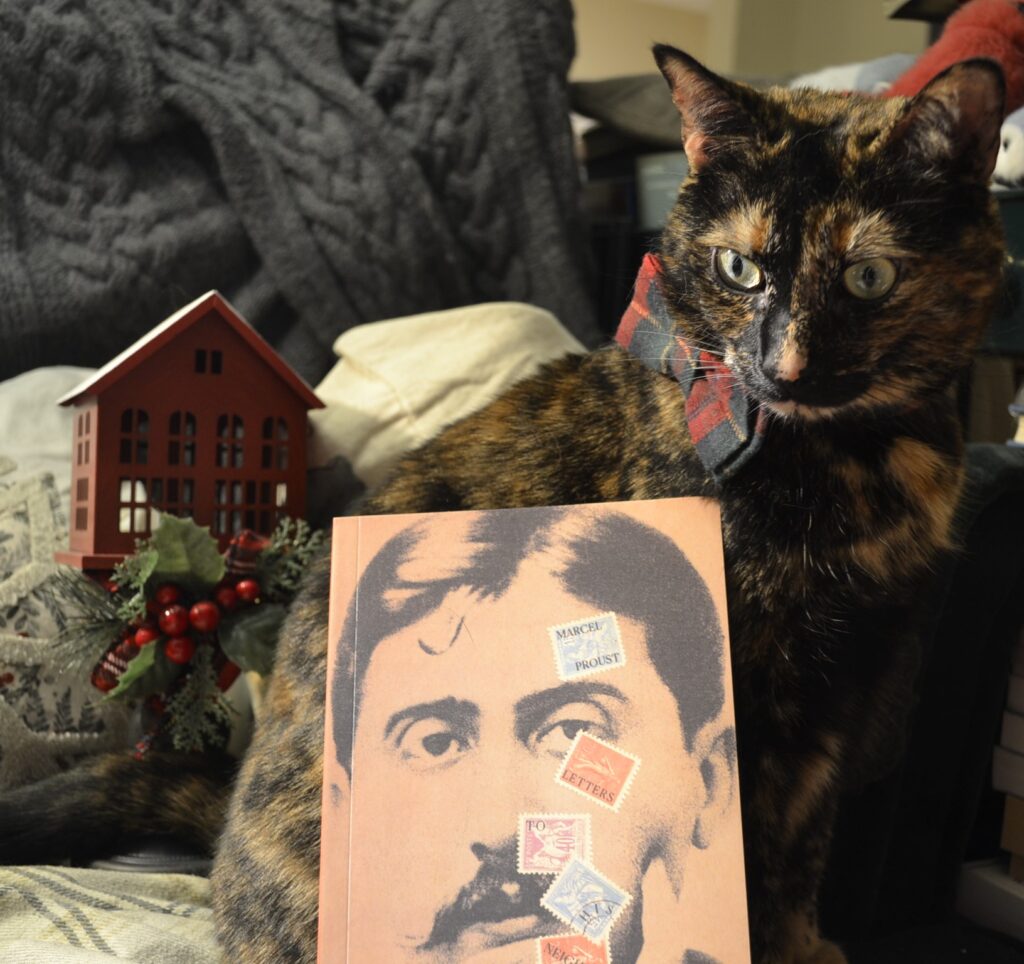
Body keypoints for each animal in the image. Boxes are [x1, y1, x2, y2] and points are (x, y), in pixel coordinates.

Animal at [0, 47, 1007, 962]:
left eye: (867, 278)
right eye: (739, 269)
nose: (785, 366)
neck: (860, 466)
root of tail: (221, 830)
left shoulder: (845, 690)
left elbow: (800, 849)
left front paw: (803, 945)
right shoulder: (763, 686)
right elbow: (757, 853)